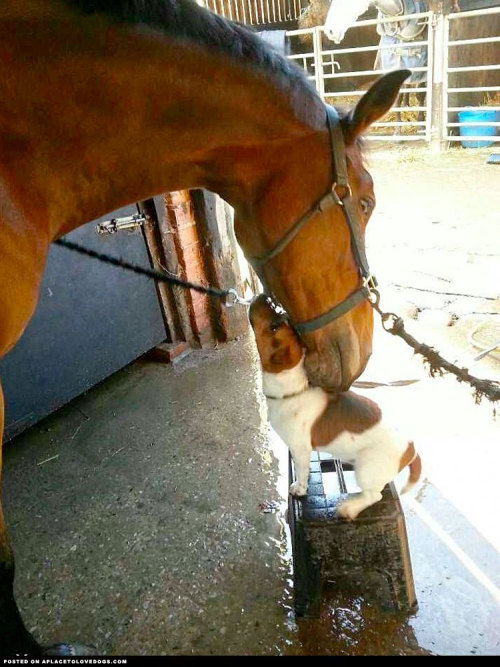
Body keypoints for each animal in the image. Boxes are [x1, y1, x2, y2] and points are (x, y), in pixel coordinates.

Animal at [248, 294, 420, 520]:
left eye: (274, 327)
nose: (264, 295)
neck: (292, 390)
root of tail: (411, 447)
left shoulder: (300, 449)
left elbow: (301, 472)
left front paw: (300, 488)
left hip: (366, 469)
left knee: (374, 496)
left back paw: (350, 508)